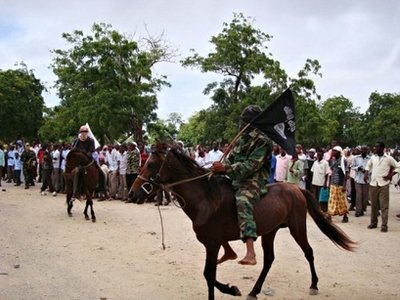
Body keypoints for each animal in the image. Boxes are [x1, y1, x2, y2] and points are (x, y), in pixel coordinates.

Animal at [129, 144, 356, 298]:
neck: (205, 199)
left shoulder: (212, 244)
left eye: (150, 164)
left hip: (297, 226)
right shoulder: (214, 242)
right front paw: (232, 284)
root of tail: (296, 189)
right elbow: (213, 270)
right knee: (269, 259)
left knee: (308, 252)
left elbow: (208, 275)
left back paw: (314, 285)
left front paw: (231, 289)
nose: (132, 194)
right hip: (270, 231)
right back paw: (254, 291)